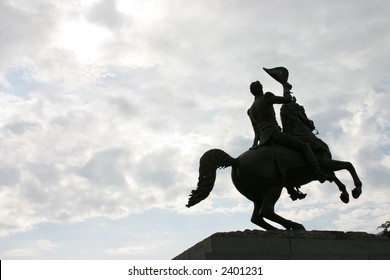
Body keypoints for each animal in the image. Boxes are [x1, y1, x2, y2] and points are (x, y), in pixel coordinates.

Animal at [186, 101, 362, 231]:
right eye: (302, 110)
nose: (311, 123)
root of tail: (236, 160)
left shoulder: (324, 167)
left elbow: (335, 176)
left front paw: (345, 194)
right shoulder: (324, 163)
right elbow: (349, 165)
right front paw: (356, 190)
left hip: (257, 195)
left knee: (257, 217)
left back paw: (278, 229)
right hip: (273, 187)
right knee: (267, 211)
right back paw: (294, 225)